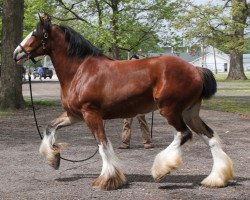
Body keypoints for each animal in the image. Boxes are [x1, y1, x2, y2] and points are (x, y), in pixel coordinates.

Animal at [12, 14, 233, 190]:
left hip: (170, 110)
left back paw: (161, 169)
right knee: (210, 137)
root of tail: (196, 70)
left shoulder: (91, 114)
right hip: (190, 112)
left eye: (35, 34)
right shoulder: (75, 115)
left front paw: (108, 179)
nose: (16, 53)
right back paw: (216, 179)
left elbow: (102, 144)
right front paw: (54, 158)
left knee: (184, 134)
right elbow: (50, 127)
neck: (80, 71)